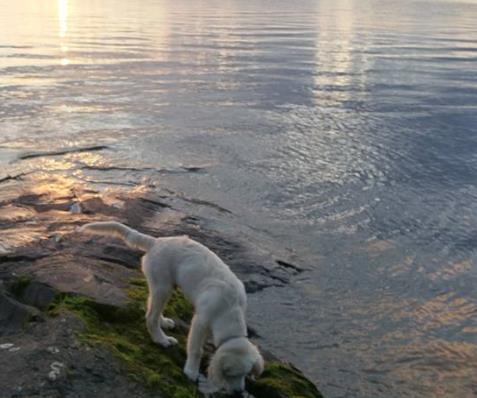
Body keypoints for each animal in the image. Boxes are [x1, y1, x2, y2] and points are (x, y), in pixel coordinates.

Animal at [79, 222, 264, 394]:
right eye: (230, 374)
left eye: (246, 374)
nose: (239, 392)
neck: (230, 308)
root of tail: (156, 241)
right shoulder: (200, 321)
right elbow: (196, 349)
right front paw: (191, 371)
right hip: (163, 285)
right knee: (151, 317)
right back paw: (161, 339)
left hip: (161, 285)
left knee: (151, 306)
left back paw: (164, 322)